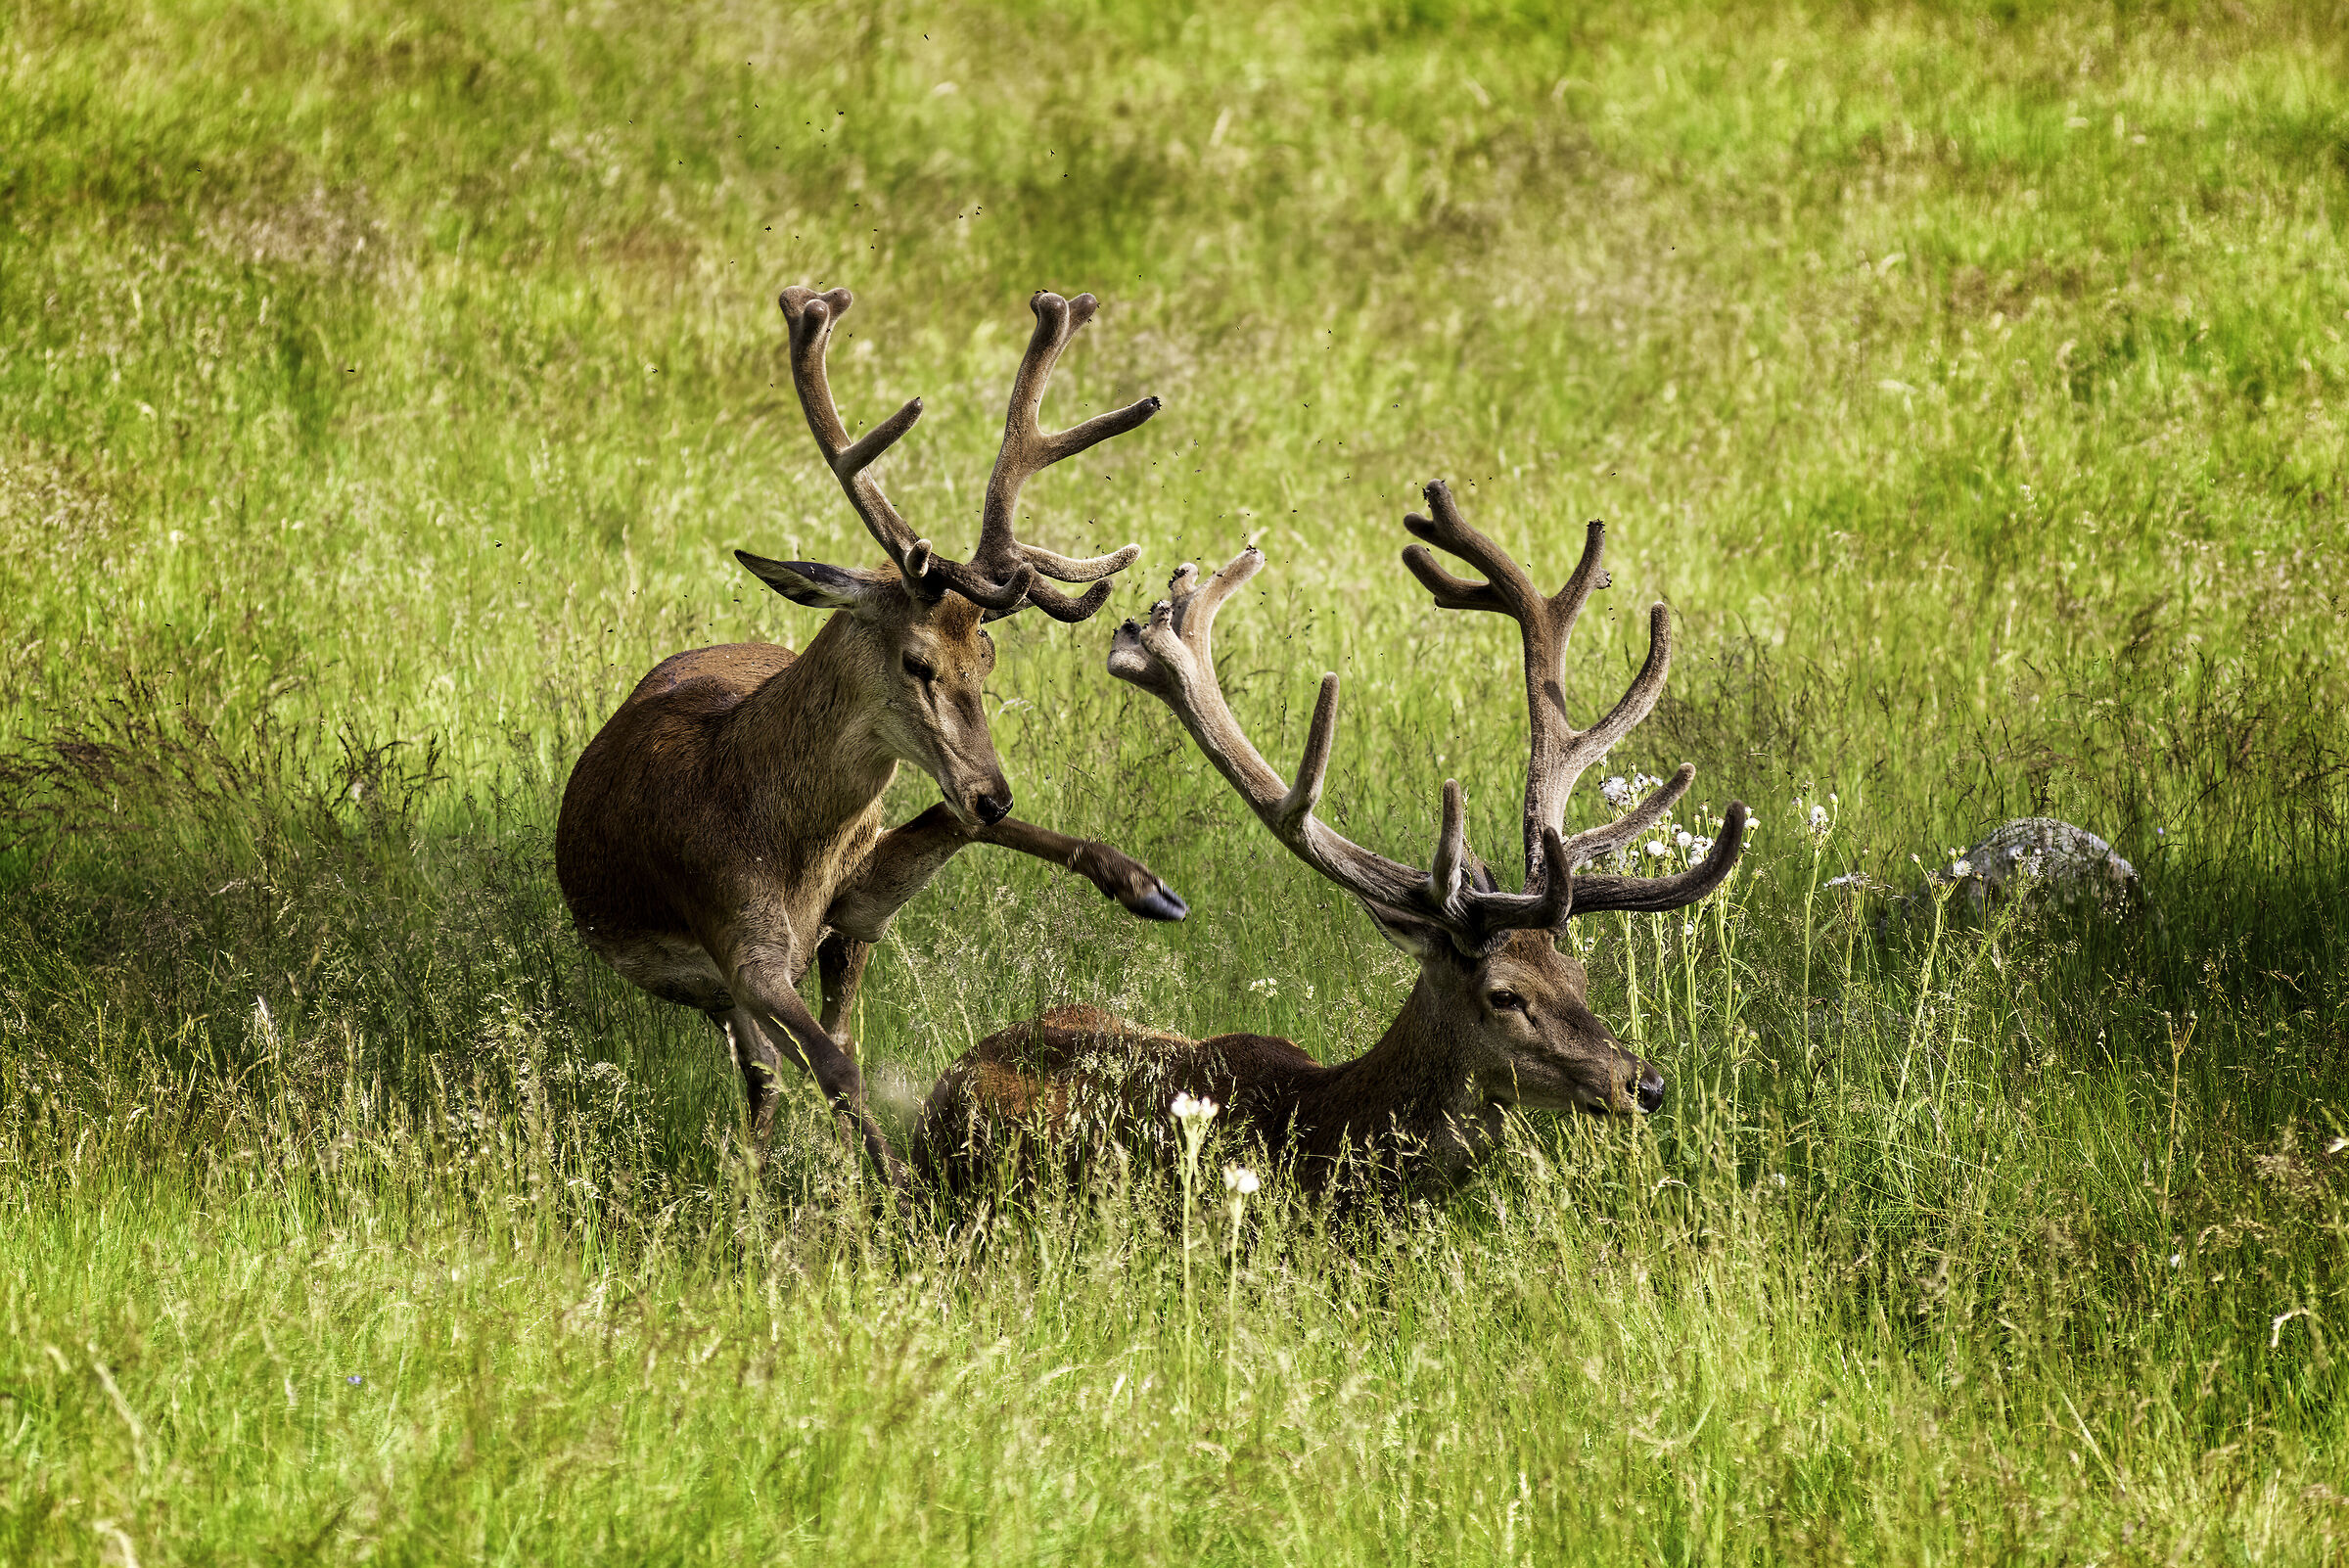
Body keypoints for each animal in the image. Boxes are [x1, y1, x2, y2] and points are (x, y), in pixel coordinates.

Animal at [557, 286, 1187, 1188]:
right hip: (728, 980)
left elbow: (844, 1034)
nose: (996, 793)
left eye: (987, 656)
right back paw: (760, 1171)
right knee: (771, 1070)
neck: (788, 844)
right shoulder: (735, 933)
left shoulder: (852, 910)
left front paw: (1144, 883)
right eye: (916, 661)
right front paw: (895, 1188)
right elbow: (831, 1065)